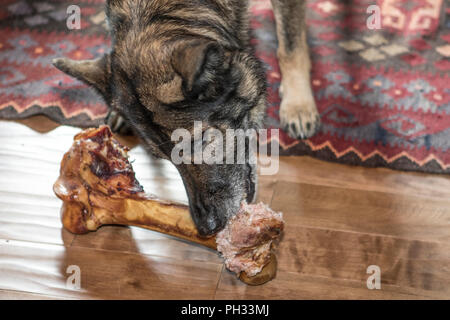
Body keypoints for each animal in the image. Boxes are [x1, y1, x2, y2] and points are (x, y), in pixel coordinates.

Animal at [53, 0, 320, 235]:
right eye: (164, 157)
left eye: (198, 142)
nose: (206, 228)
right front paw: (117, 112)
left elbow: (290, 47)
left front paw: (298, 104)